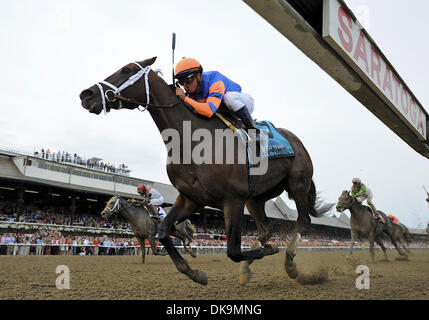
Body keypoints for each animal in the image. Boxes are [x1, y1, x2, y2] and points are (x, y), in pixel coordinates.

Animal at [81, 57, 334, 284]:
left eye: (127, 70)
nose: (87, 95)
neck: (193, 142)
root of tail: (296, 140)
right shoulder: (191, 199)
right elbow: (163, 231)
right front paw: (194, 272)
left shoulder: (232, 200)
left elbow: (233, 250)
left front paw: (269, 251)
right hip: (256, 198)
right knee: (265, 230)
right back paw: (248, 268)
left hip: (297, 184)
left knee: (302, 221)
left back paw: (289, 262)